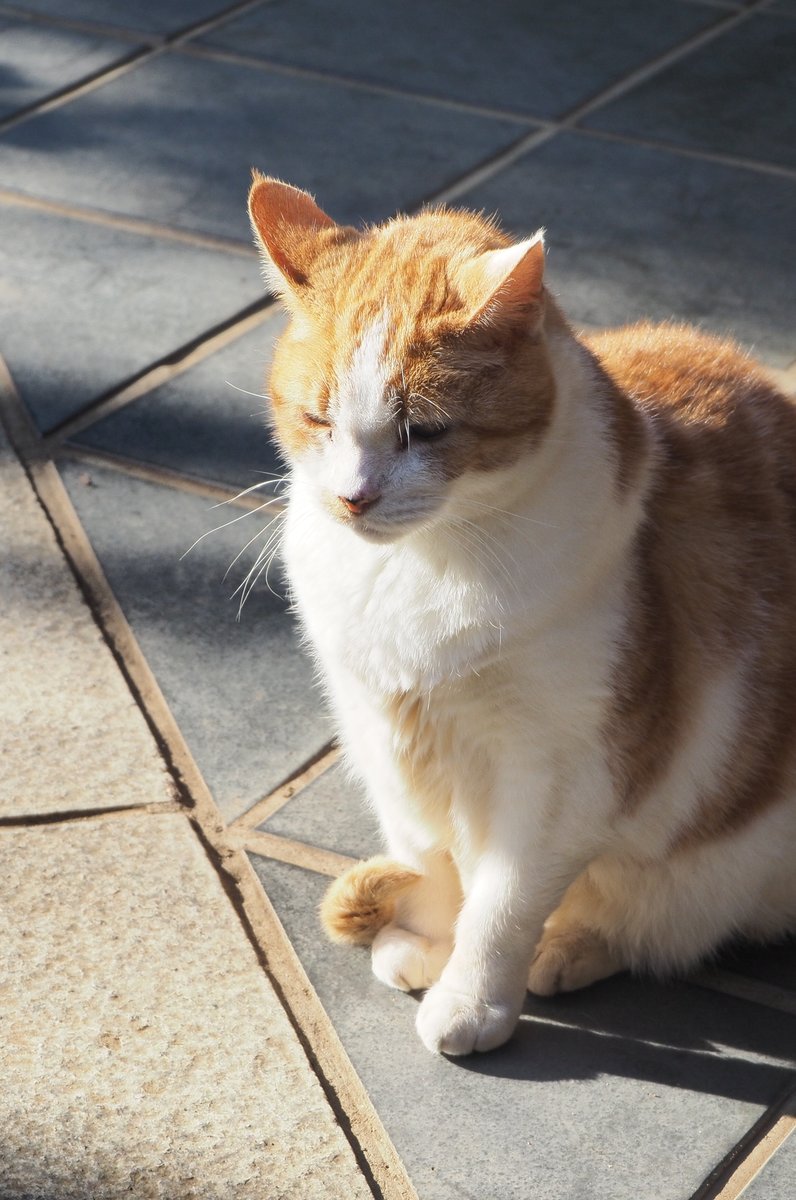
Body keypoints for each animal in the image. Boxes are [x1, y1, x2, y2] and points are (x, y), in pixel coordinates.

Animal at [246, 174, 796, 1056]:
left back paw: (572, 947)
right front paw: (424, 937)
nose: (353, 497)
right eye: (319, 420)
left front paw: (472, 997)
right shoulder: (382, 735)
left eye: (423, 431)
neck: (418, 567)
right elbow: (431, 855)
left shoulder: (565, 775)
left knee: (667, 918)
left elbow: (503, 903)